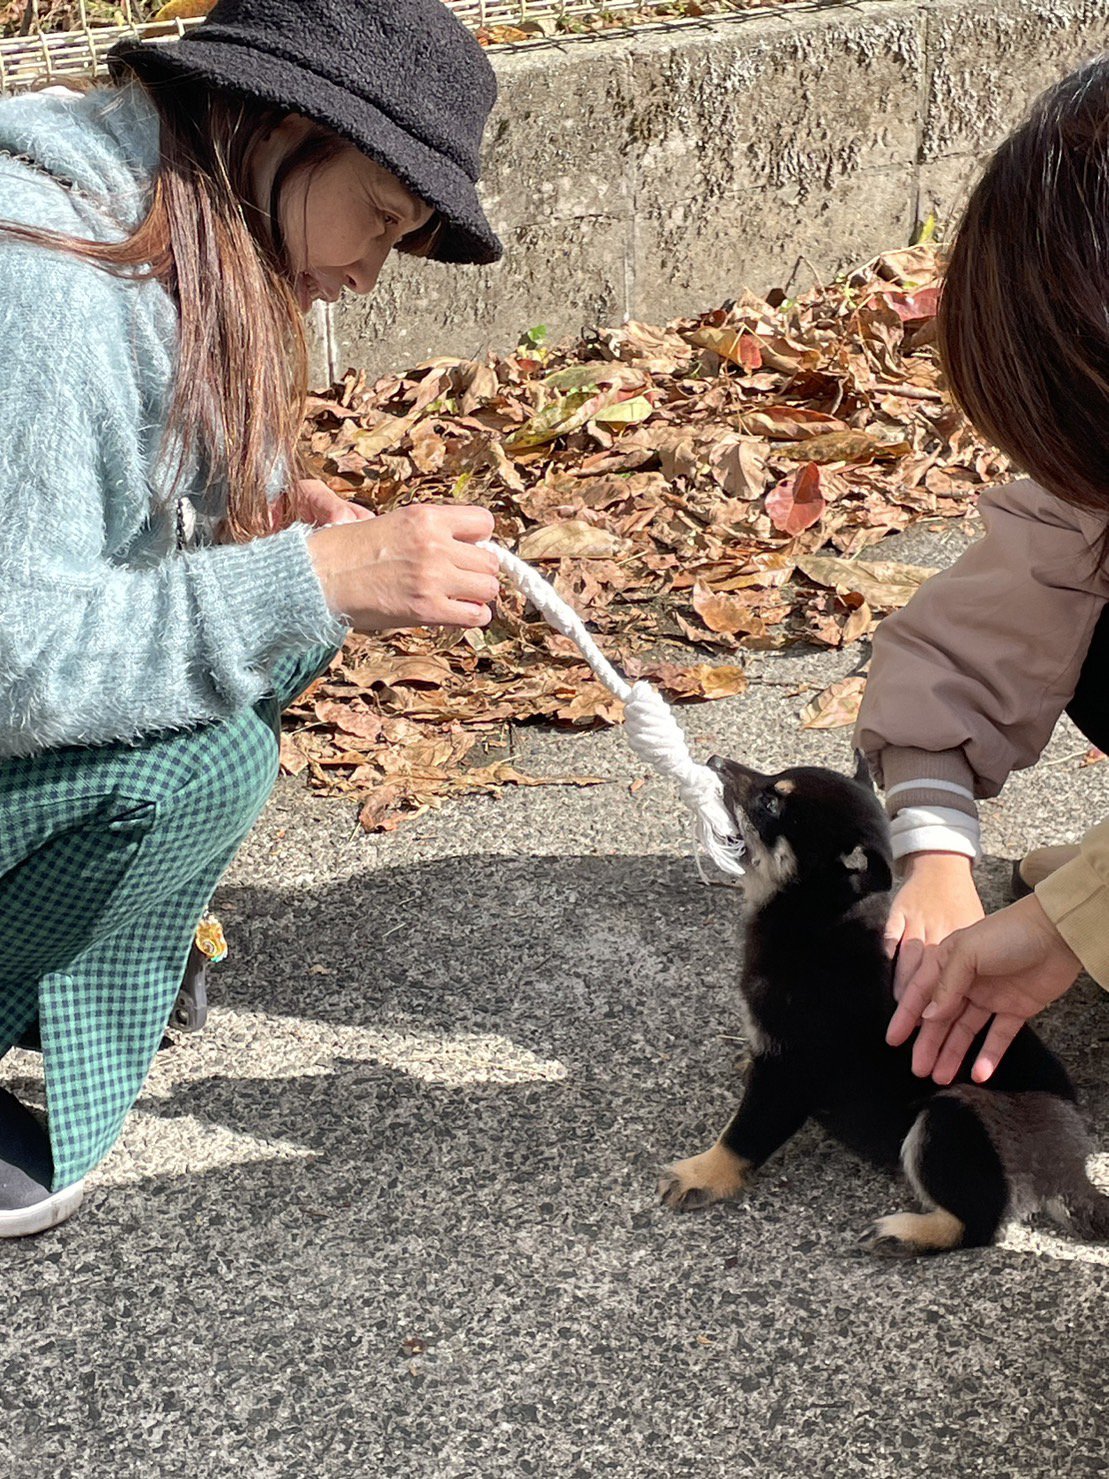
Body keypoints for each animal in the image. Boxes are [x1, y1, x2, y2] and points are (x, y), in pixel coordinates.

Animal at [659, 753, 1109, 1255]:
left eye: (771, 802)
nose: (715, 761)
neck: (815, 919)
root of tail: (1068, 1169)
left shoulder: (790, 1073)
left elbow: (743, 1135)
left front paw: (701, 1173)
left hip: (949, 1121)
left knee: (979, 1226)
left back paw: (905, 1232)